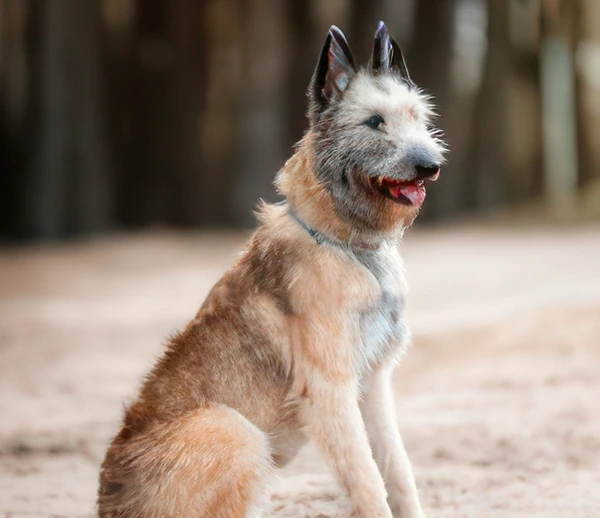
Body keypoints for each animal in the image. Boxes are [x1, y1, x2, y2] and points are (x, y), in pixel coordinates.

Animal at [97, 20, 446, 518]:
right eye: (374, 122)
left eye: (417, 117)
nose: (430, 165)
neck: (344, 243)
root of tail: (110, 502)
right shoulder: (330, 393)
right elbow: (367, 481)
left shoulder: (374, 387)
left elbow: (397, 472)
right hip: (234, 429)